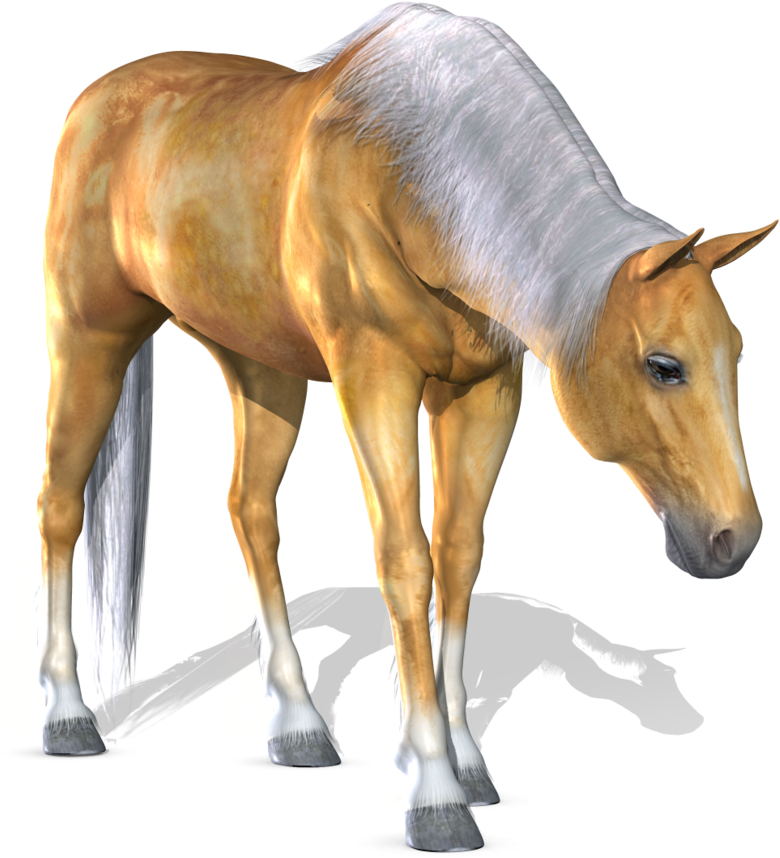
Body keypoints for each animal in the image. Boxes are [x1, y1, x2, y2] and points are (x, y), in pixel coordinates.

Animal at [35, 2, 768, 851]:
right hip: (90, 341)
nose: (734, 540)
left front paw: (466, 763)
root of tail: (96, 99)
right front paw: (434, 795)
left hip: (263, 371)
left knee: (252, 510)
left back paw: (295, 726)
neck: (417, 179)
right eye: (664, 366)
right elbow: (405, 559)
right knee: (60, 505)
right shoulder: (373, 374)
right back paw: (63, 716)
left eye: (737, 356)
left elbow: (458, 558)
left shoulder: (481, 394)